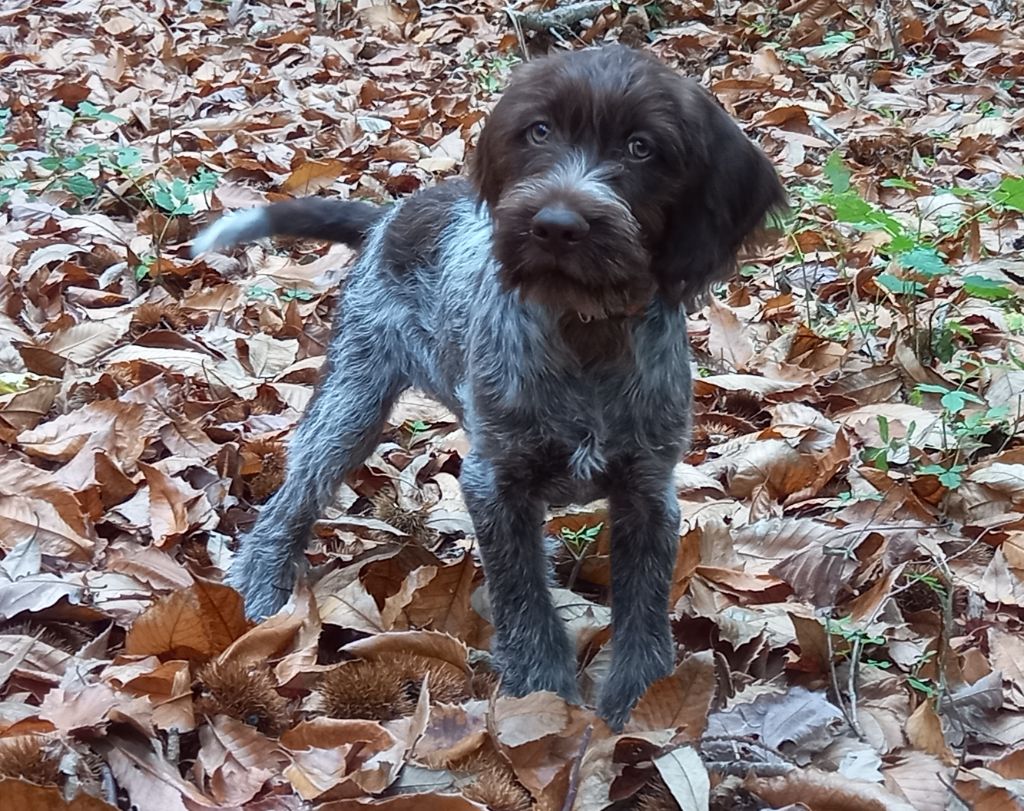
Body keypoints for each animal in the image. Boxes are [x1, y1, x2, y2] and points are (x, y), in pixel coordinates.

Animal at [192, 44, 782, 729]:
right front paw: (544, 698)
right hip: (352, 400)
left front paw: (640, 702)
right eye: (539, 132)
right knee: (296, 493)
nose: (556, 225)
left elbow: (643, 604)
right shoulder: (495, 483)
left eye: (641, 148)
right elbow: (524, 598)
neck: (585, 331)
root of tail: (390, 215)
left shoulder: (647, 489)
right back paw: (261, 586)